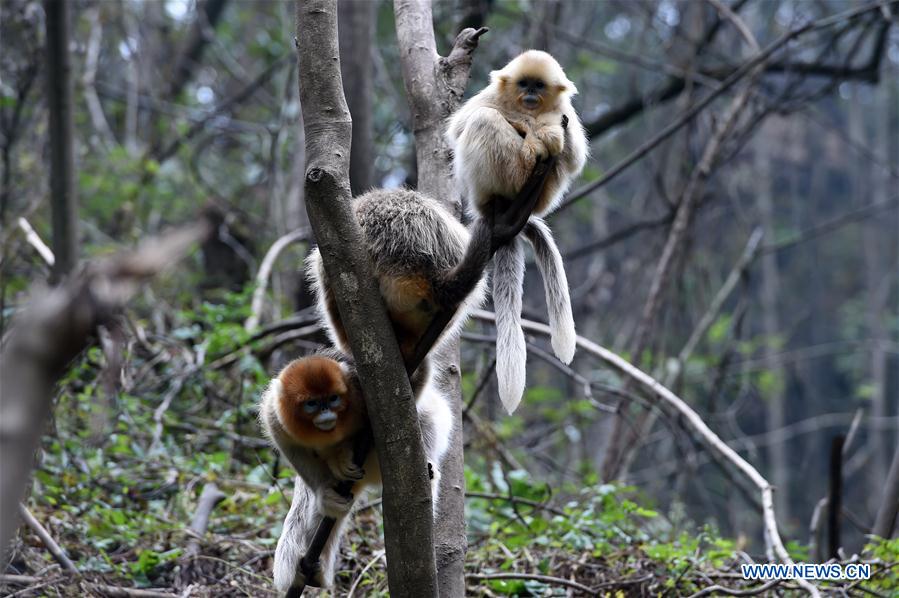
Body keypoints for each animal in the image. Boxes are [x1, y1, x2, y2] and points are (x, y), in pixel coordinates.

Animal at [444, 50, 588, 418]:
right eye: (524, 84)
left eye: (539, 85)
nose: (531, 96)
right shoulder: (494, 97)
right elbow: (459, 127)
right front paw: (528, 126)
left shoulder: (565, 112)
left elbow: (574, 157)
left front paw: (542, 130)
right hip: (491, 184)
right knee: (483, 120)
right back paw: (529, 149)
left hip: (544, 192)